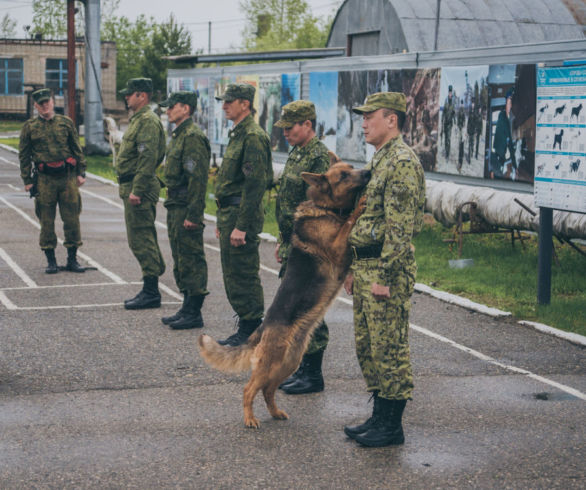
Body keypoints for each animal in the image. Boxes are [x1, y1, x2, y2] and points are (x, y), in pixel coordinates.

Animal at [197, 158, 370, 428]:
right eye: (343, 176)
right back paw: (250, 419)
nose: (368, 172)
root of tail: (262, 328)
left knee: (268, 390)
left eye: (351, 168)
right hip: (271, 363)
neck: (326, 209)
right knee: (249, 389)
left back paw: (275, 412)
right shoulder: (337, 247)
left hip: (289, 362)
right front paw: (360, 205)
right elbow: (348, 223)